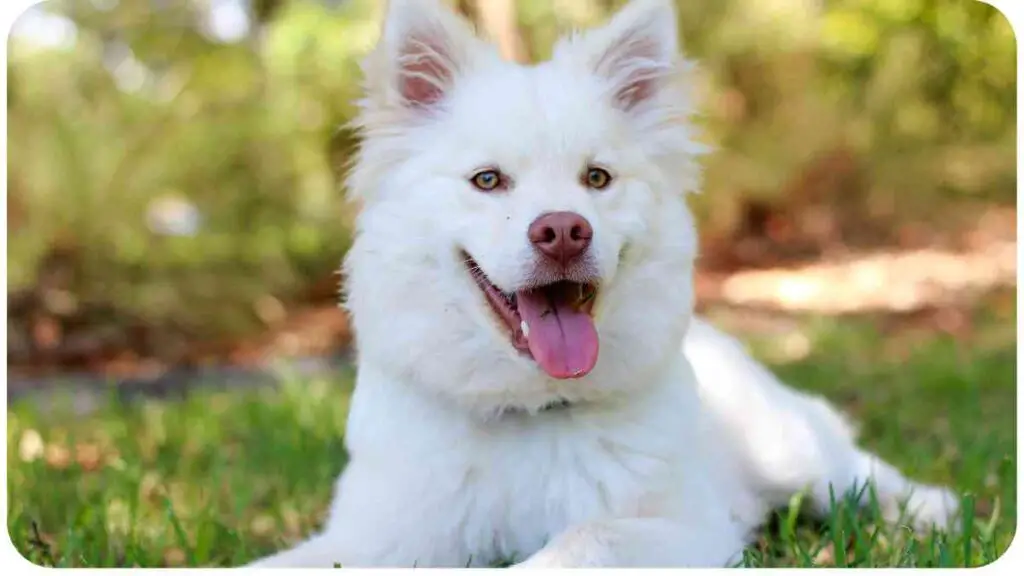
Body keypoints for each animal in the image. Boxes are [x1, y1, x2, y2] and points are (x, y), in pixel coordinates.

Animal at [247, 0, 958, 565]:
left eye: (597, 178)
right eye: (487, 180)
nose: (563, 230)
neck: (529, 413)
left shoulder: (682, 526)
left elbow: (579, 540)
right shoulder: (376, 538)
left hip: (788, 449)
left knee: (858, 472)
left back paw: (932, 509)